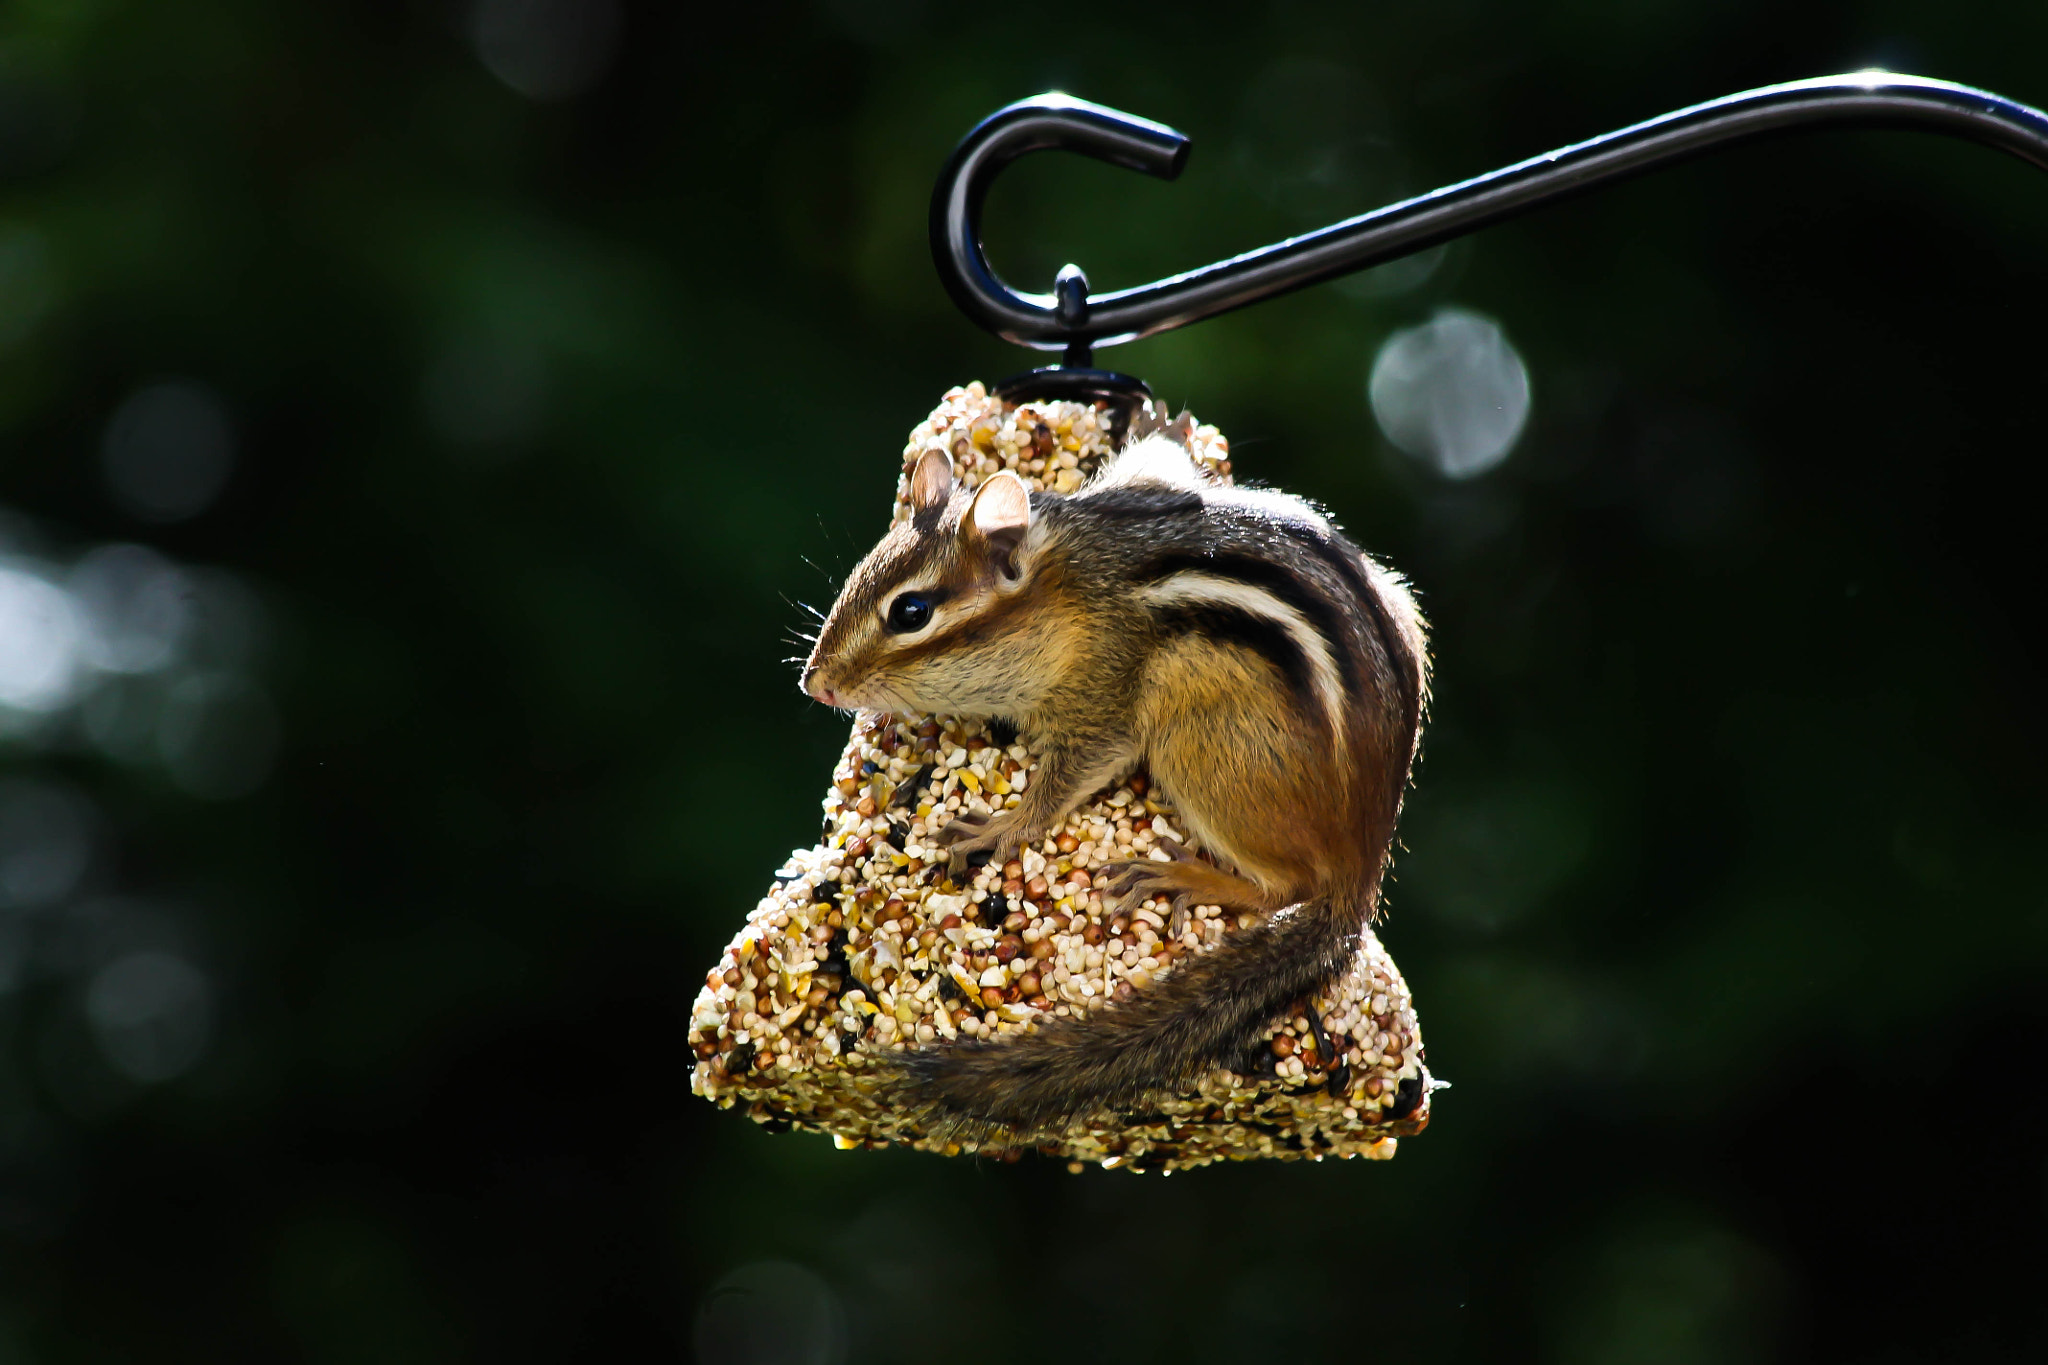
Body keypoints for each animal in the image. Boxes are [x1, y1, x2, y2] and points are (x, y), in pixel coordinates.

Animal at [800, 429, 1428, 1133]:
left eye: (911, 611)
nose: (814, 683)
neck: (1064, 589)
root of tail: (1364, 864)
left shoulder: (1104, 693)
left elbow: (1071, 774)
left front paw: (1002, 826)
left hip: (1203, 748)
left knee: (1288, 884)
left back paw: (1182, 875)